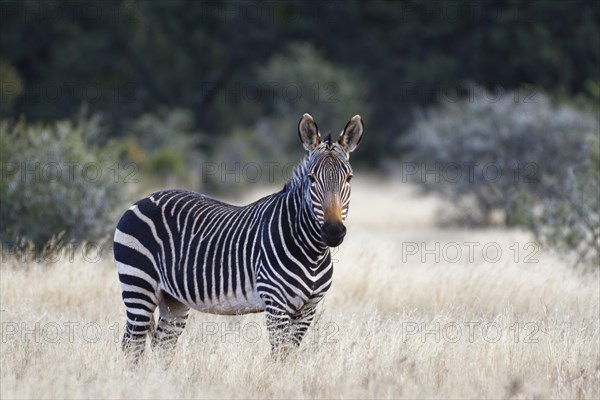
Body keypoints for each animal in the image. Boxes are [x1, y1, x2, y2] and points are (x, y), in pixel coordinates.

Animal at [114, 112, 364, 360]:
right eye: (312, 178)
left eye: (349, 178)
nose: (333, 231)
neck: (312, 252)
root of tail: (141, 201)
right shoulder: (277, 305)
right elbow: (279, 356)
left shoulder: (307, 310)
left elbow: (289, 356)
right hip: (139, 285)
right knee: (132, 345)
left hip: (172, 299)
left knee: (162, 345)